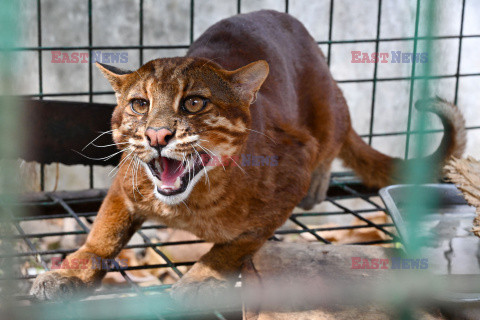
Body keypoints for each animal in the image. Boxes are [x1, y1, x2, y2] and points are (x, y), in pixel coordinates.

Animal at [30, 10, 464, 300]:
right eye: (139, 104)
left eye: (194, 102)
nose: (156, 135)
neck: (189, 204)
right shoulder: (126, 184)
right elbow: (102, 234)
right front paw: (68, 274)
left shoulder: (293, 169)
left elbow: (237, 244)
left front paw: (200, 280)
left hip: (329, 108)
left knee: (333, 141)